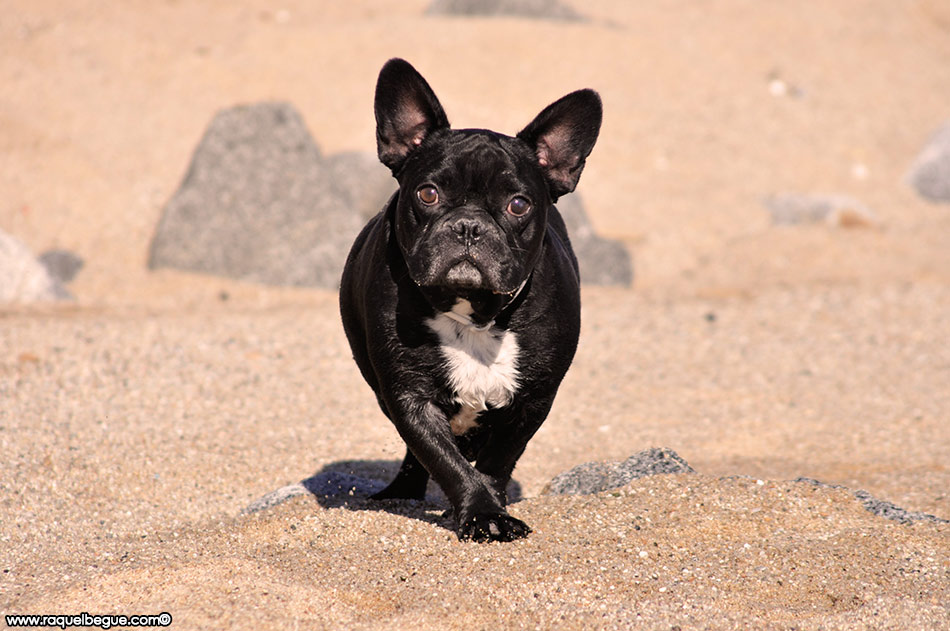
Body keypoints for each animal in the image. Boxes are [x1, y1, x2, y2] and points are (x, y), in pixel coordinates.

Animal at [338, 59, 600, 544]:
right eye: (427, 194)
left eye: (519, 205)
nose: (468, 226)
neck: (474, 314)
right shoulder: (409, 396)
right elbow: (442, 457)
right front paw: (481, 512)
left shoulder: (532, 399)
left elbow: (498, 460)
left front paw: (491, 507)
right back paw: (400, 493)